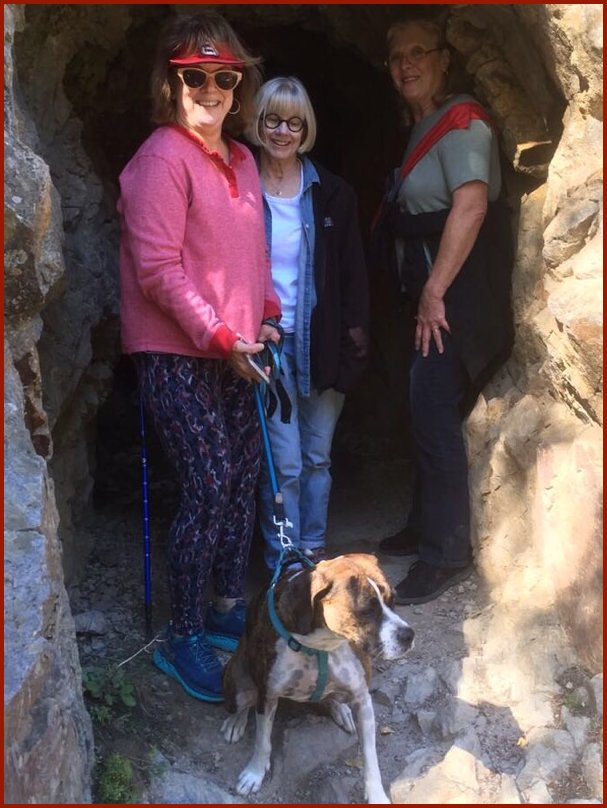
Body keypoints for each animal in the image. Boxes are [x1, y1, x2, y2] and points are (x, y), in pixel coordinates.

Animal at [221, 553, 414, 803]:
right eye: (366, 610)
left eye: (393, 600)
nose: (409, 635)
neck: (321, 644)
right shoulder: (268, 695)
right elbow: (262, 742)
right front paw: (254, 773)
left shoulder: (362, 699)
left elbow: (371, 757)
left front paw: (376, 795)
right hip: (239, 684)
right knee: (244, 703)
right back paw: (236, 722)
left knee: (331, 698)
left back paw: (340, 709)